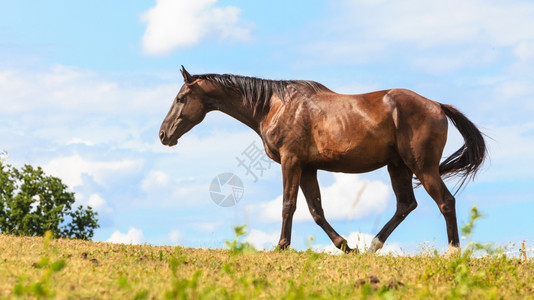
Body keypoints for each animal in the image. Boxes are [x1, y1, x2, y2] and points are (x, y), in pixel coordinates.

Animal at [158, 66, 486, 253]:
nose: (163, 134)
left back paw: (453, 252)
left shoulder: (291, 162)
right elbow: (316, 211)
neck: (274, 105)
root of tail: (437, 106)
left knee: (445, 202)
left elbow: (288, 205)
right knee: (406, 205)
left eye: (181, 98)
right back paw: (371, 247)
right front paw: (345, 247)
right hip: (398, 167)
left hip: (423, 167)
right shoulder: (307, 168)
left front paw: (281, 247)